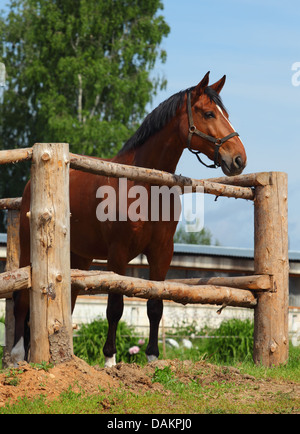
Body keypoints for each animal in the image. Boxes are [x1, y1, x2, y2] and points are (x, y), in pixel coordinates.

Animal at [11, 71, 246, 366]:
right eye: (209, 113)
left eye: (225, 113)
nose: (239, 159)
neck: (144, 184)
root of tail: (30, 183)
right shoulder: (118, 253)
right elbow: (115, 306)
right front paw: (110, 360)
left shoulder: (162, 252)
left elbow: (155, 305)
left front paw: (153, 358)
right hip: (29, 249)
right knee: (21, 298)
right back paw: (17, 354)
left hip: (79, 257)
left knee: (69, 302)